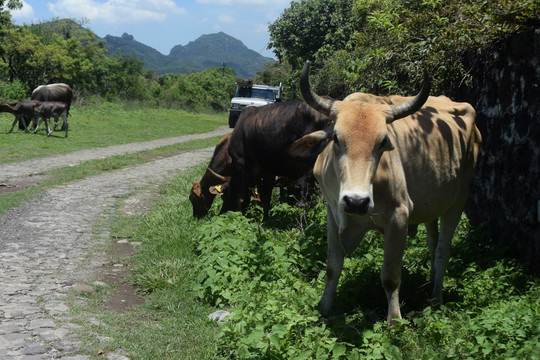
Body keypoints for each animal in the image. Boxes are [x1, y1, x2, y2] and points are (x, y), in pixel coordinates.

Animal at [300, 61, 480, 324]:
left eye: (383, 142)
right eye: (336, 139)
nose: (356, 202)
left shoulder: (399, 216)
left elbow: (391, 276)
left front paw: (394, 320)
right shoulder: (333, 213)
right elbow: (333, 267)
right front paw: (325, 308)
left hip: (459, 200)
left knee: (443, 250)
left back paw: (436, 298)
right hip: (432, 204)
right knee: (432, 242)